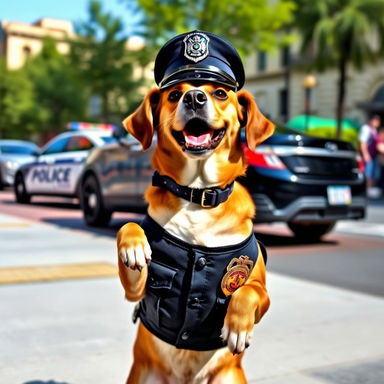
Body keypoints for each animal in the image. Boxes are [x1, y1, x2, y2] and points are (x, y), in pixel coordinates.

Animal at [116, 30, 272, 384]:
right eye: (174, 94)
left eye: (220, 93)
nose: (195, 98)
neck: (197, 196)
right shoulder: (136, 292)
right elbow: (128, 226)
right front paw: (134, 245)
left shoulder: (262, 290)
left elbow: (247, 292)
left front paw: (237, 327)